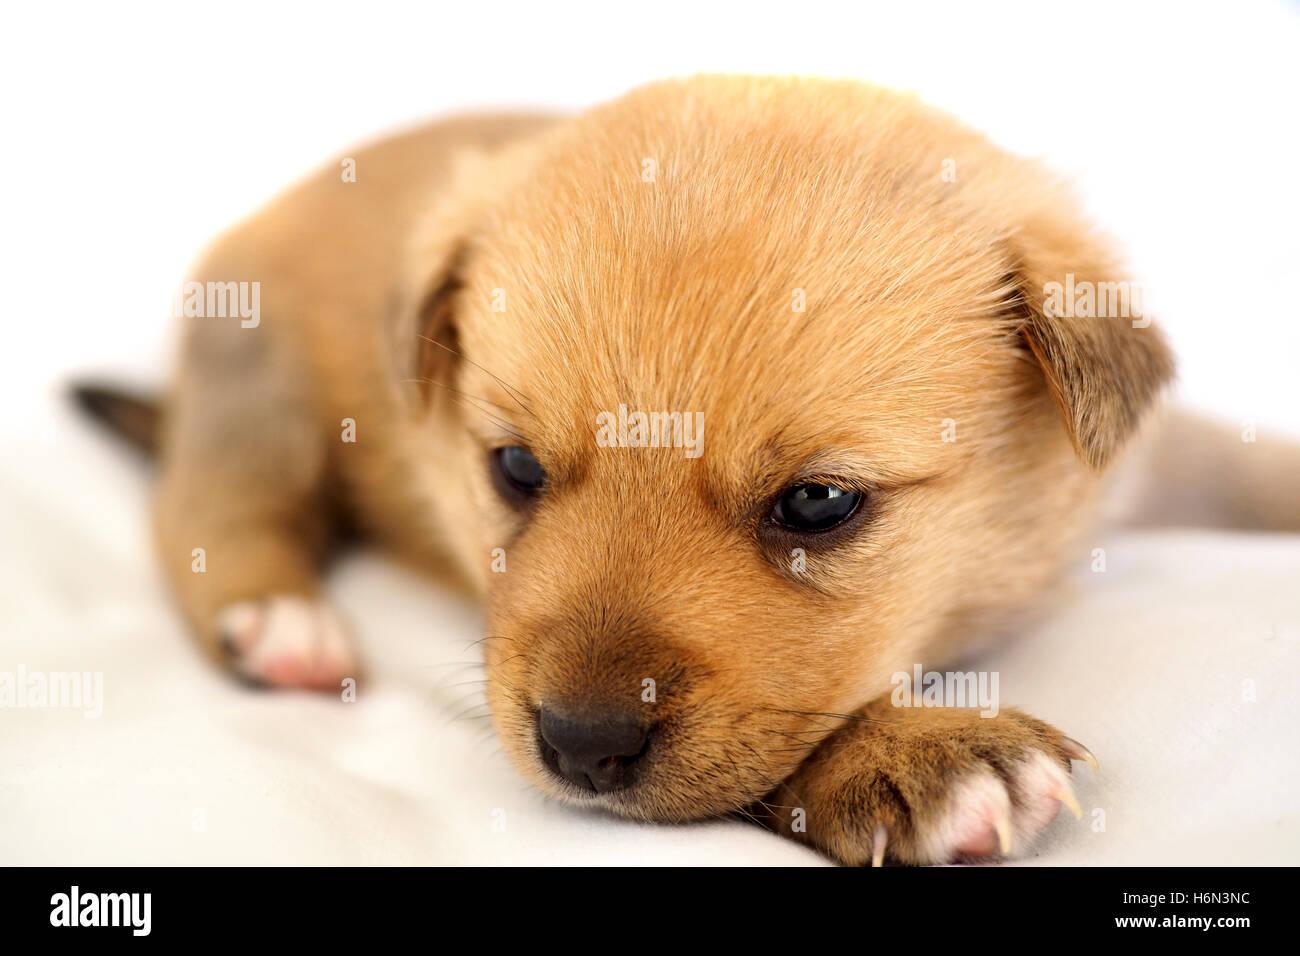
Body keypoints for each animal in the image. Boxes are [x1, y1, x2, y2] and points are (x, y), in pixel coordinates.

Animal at [73, 74, 1300, 868]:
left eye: (817, 501)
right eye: (514, 468)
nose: (580, 745)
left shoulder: (1156, 455)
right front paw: (910, 755)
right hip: (256, 378)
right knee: (211, 508)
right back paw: (282, 622)